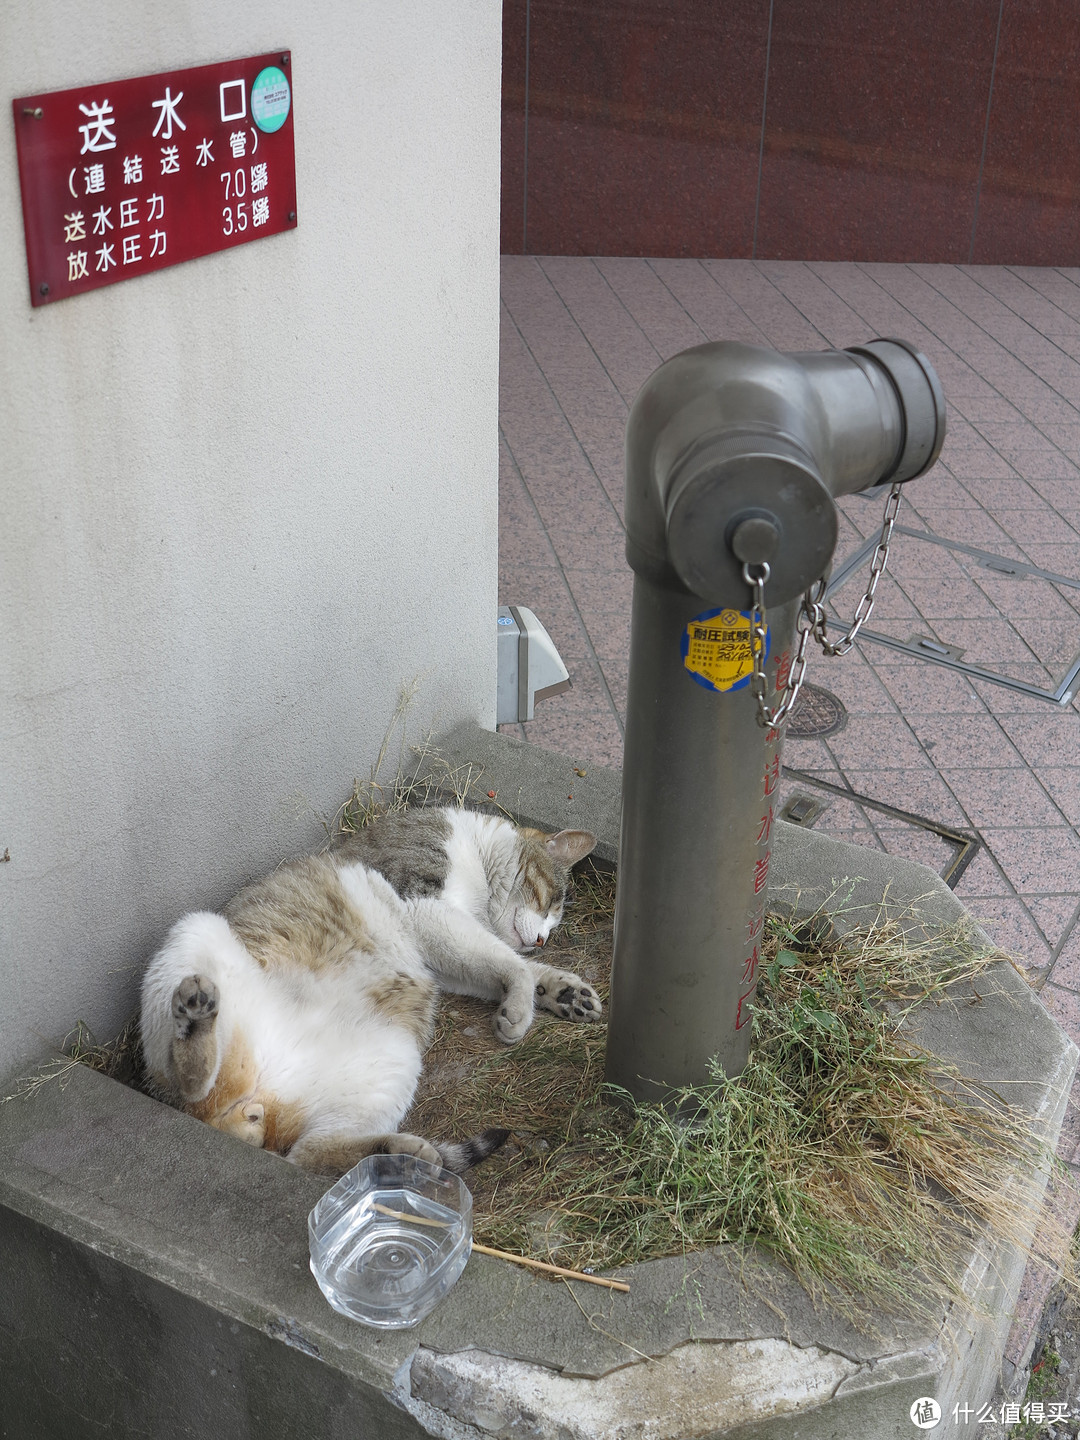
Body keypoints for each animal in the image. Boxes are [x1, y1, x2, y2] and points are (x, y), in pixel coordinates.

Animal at [137, 806, 601, 1175]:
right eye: (551, 900)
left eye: (555, 916)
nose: (541, 939)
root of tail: (257, 1095)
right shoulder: (424, 903)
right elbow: (509, 962)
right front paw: (522, 1004)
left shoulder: (445, 963)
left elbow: (507, 963)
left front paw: (563, 991)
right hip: (195, 931)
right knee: (192, 1087)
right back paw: (196, 1025)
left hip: (396, 1060)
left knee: (310, 1153)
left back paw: (400, 1152)